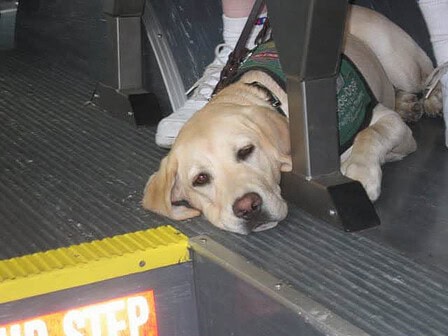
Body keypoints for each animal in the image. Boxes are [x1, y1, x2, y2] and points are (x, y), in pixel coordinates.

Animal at [143, 5, 440, 236]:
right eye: (201, 179)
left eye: (246, 151)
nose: (248, 207)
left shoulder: (386, 119)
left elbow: (369, 134)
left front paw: (361, 171)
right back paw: (407, 103)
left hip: (399, 64)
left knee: (427, 75)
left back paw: (432, 100)